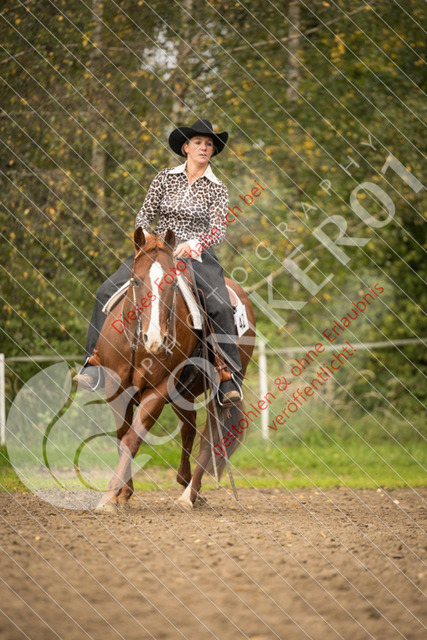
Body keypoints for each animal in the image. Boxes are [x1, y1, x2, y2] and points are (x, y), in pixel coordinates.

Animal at [94, 227, 255, 511]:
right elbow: (122, 437)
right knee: (189, 427)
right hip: (183, 393)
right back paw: (186, 482)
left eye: (171, 284)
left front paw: (109, 496)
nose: (155, 339)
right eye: (136, 281)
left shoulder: (157, 391)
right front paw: (122, 493)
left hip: (218, 394)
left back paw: (188, 495)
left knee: (209, 438)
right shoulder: (116, 389)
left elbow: (132, 439)